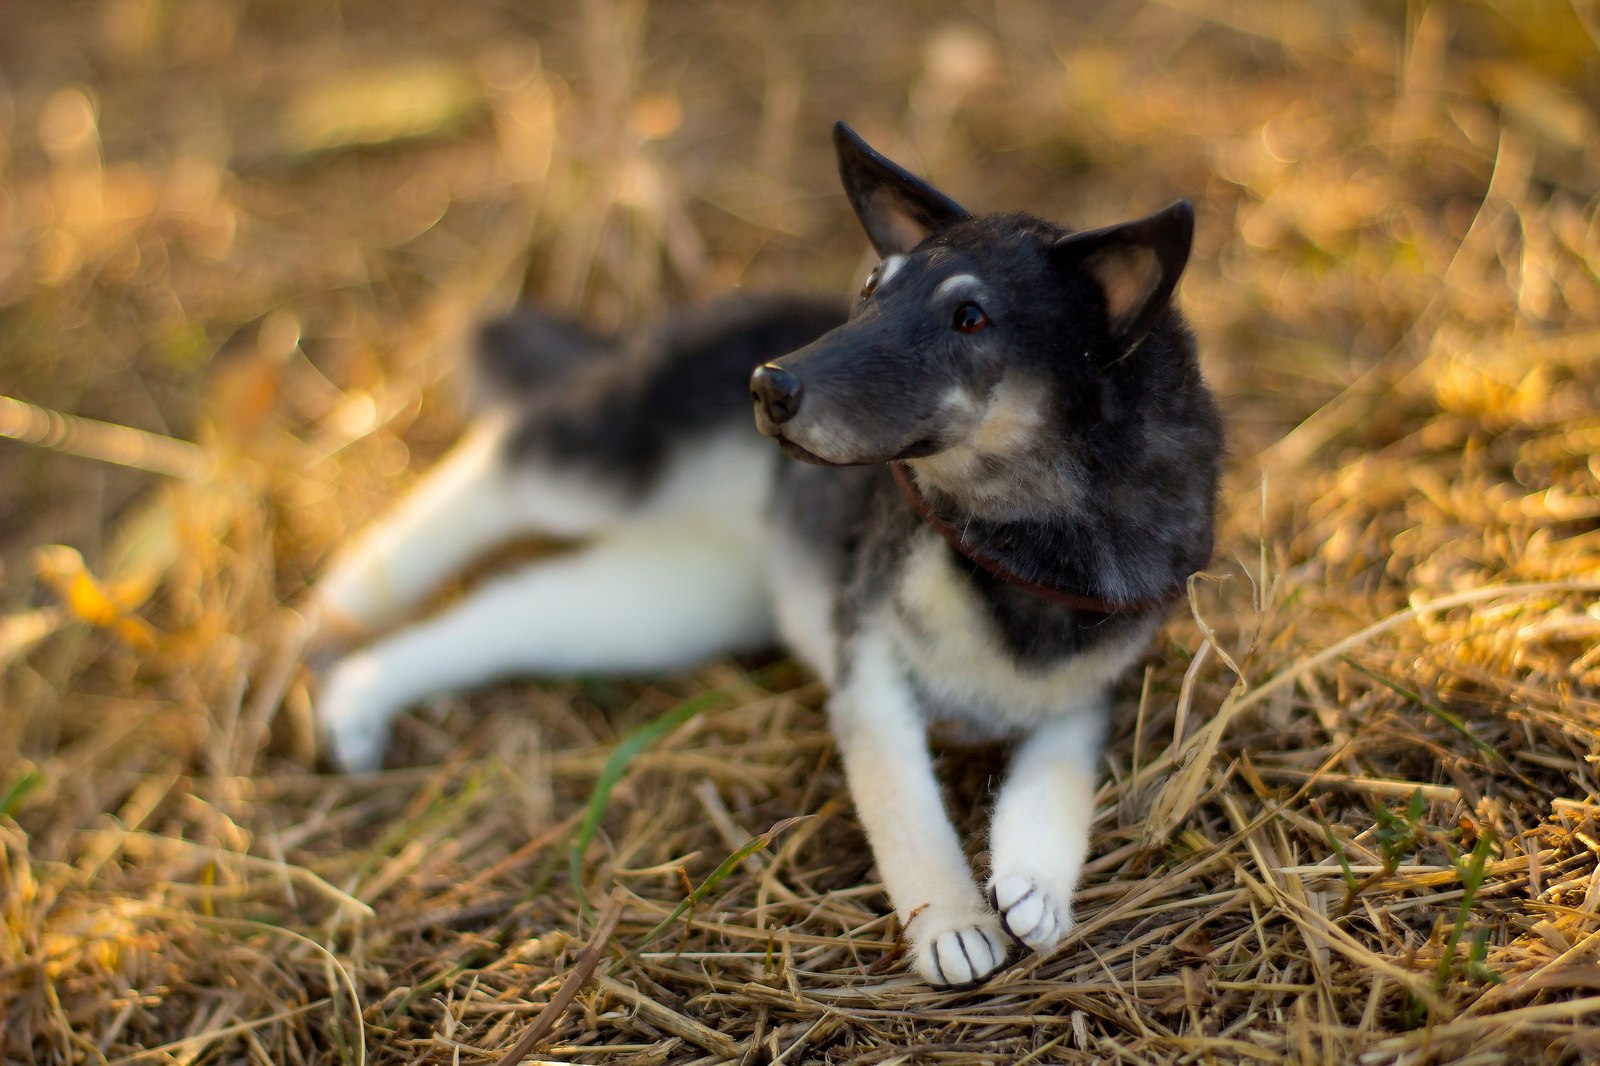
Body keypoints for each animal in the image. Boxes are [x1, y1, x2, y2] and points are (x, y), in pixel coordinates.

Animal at [312, 122, 1216, 979]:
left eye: (972, 317)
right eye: (871, 289)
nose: (769, 386)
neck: (1020, 555)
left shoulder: (1082, 703)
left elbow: (1058, 787)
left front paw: (1036, 886)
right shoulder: (869, 681)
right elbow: (906, 814)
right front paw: (951, 923)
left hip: (662, 605)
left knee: (502, 615)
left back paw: (358, 697)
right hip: (616, 458)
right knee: (500, 459)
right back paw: (346, 596)